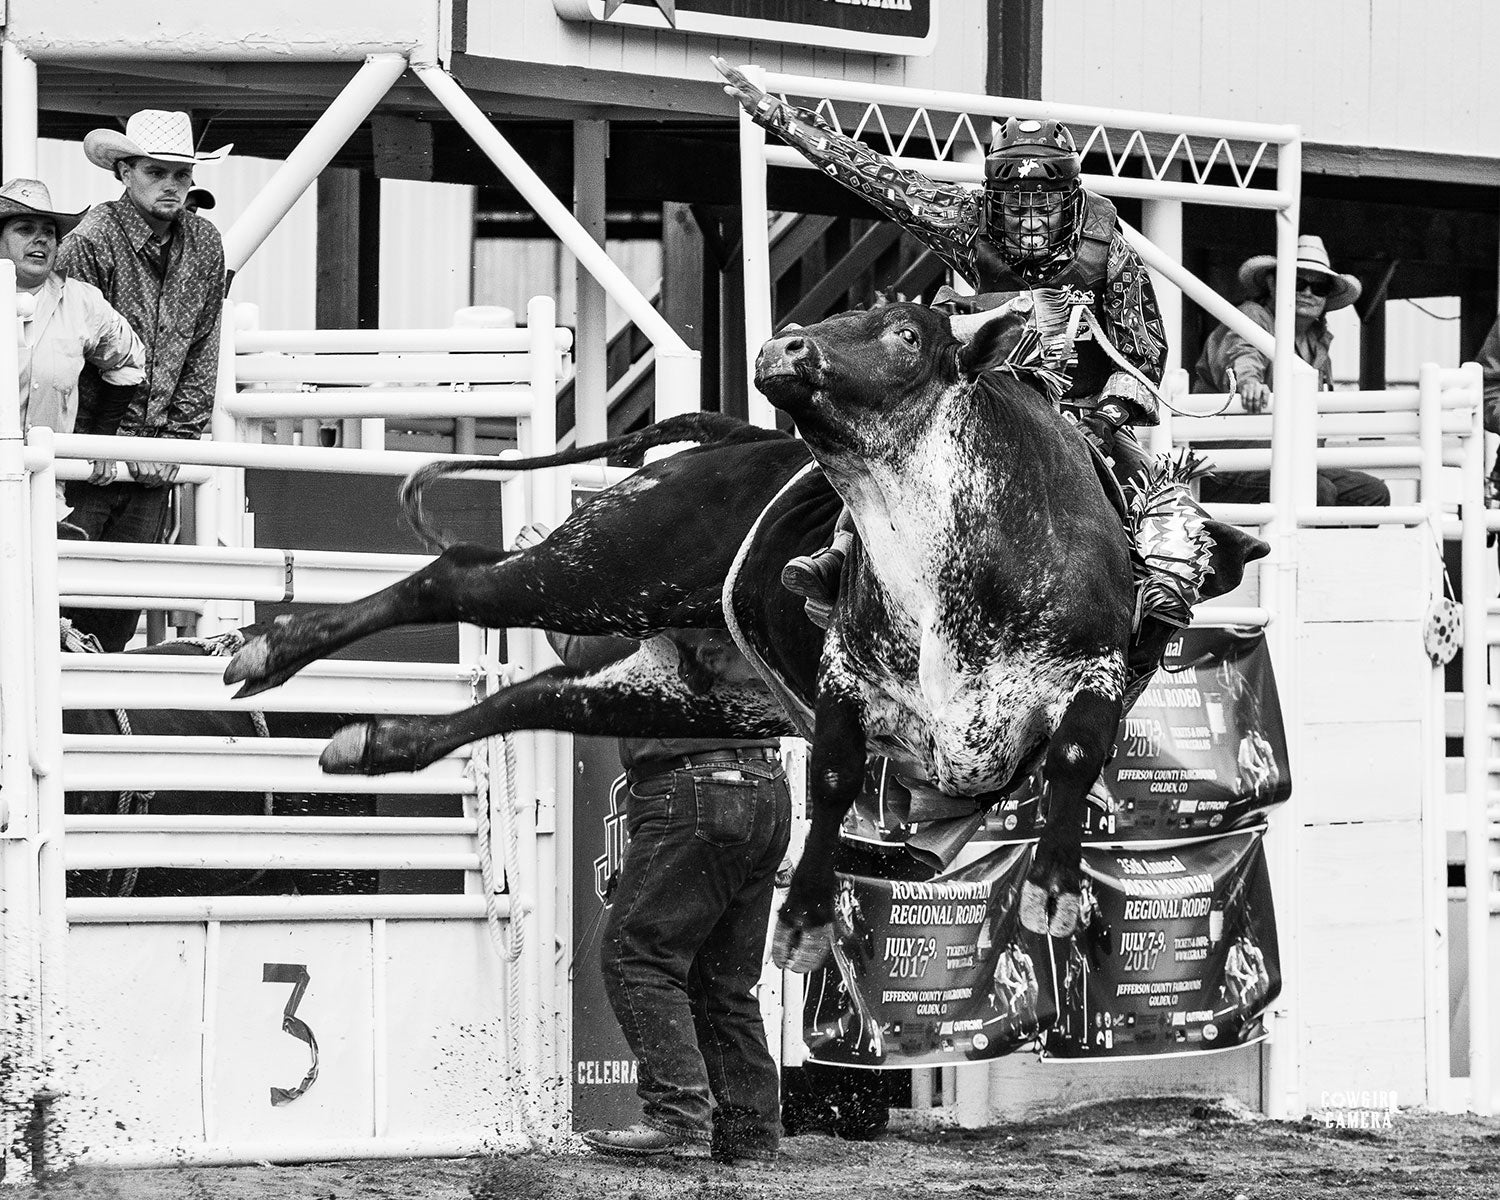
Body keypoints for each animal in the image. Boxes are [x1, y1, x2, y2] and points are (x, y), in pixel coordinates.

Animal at [223, 303, 1266, 970]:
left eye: (907, 332)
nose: (783, 346)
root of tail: (723, 441)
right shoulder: (849, 679)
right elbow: (835, 779)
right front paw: (802, 923)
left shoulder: (1092, 671)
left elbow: (1079, 754)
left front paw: (1054, 888)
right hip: (608, 565)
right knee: (459, 577)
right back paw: (275, 651)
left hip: (679, 682)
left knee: (528, 690)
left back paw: (376, 739)